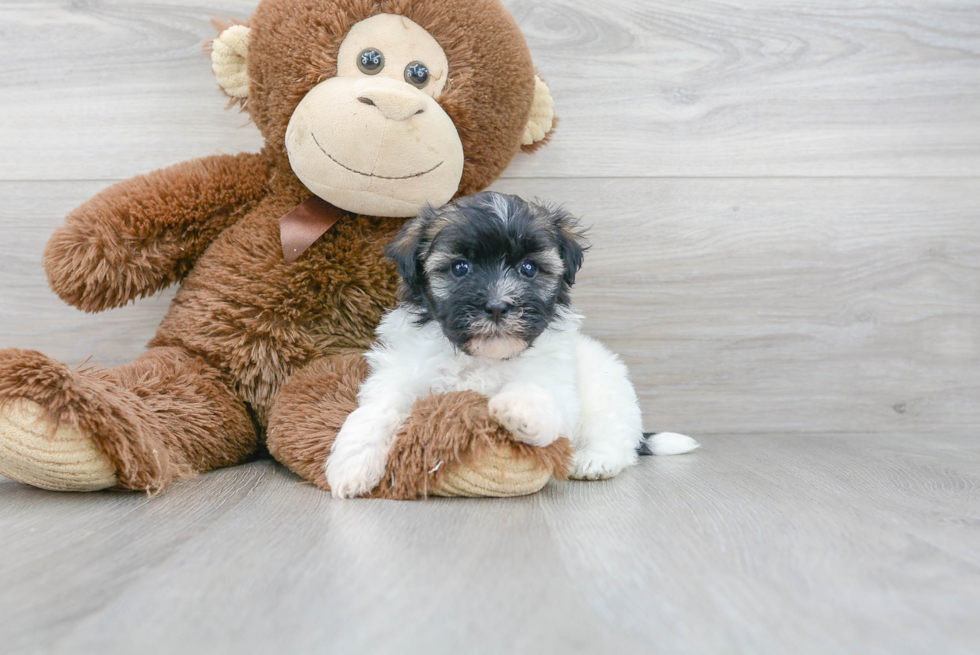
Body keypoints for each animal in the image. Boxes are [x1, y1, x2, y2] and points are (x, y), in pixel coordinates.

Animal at [326, 192, 692, 500]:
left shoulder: (556, 383)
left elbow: (541, 396)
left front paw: (518, 409)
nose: (498, 306)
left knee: (617, 436)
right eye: (460, 268)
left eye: (528, 268)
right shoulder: (399, 373)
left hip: (610, 392)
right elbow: (377, 410)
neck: (483, 357)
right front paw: (352, 465)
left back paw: (595, 460)